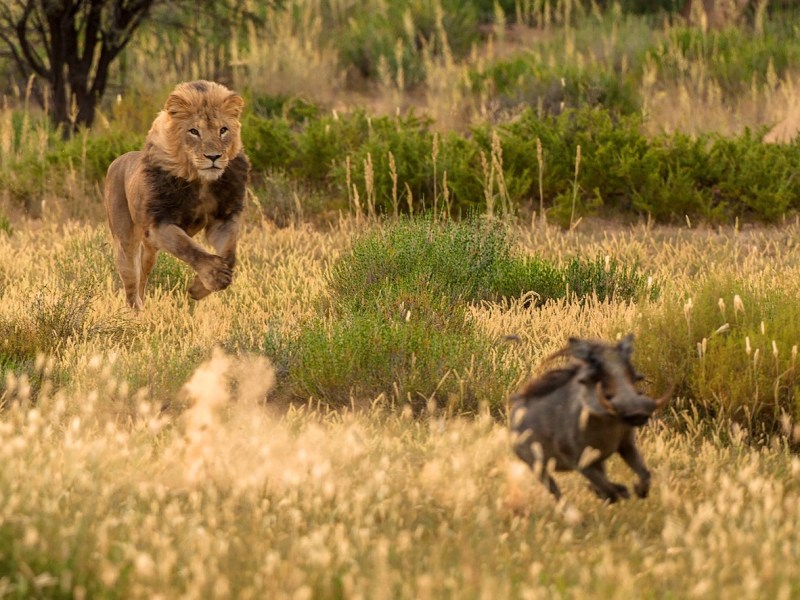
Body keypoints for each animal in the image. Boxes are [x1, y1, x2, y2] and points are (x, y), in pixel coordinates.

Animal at [104, 79, 250, 308]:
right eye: (194, 131)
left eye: (223, 130)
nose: (214, 157)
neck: (201, 180)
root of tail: (119, 159)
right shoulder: (159, 224)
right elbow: (189, 248)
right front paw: (214, 278)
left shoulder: (223, 219)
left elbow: (229, 254)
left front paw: (201, 287)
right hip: (125, 241)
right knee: (131, 285)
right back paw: (134, 312)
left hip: (149, 249)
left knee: (143, 278)